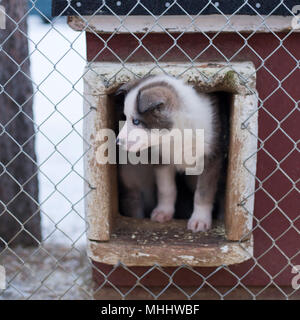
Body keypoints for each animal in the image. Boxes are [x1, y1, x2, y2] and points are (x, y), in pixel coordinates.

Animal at [115, 74, 223, 232]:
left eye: (136, 121)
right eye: (125, 117)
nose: (118, 142)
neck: (176, 135)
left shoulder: (211, 159)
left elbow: (203, 193)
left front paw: (200, 220)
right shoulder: (162, 160)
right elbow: (166, 189)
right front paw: (163, 212)